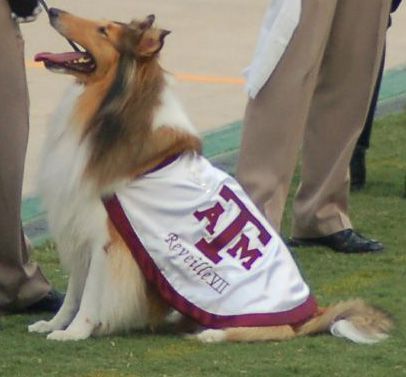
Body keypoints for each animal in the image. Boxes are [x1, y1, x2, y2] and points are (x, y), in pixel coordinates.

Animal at [27, 8, 390, 344]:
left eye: (103, 30)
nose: (53, 11)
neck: (112, 107)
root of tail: (312, 312)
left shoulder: (107, 237)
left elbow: (91, 294)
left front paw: (74, 332)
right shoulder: (81, 227)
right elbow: (75, 291)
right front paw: (53, 323)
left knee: (280, 329)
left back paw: (213, 333)